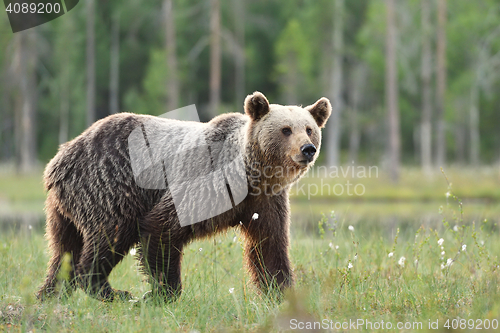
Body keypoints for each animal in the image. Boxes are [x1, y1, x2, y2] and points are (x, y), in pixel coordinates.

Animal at [36, 91, 332, 300]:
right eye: (285, 129)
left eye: (309, 128)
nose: (308, 149)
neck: (251, 176)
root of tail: (62, 155)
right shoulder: (205, 182)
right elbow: (162, 228)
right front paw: (160, 293)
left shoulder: (266, 202)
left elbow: (269, 245)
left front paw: (279, 291)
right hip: (110, 185)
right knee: (110, 234)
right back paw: (112, 291)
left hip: (65, 207)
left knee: (64, 249)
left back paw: (50, 295)